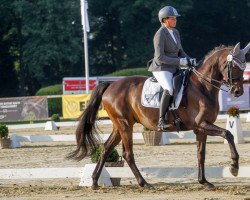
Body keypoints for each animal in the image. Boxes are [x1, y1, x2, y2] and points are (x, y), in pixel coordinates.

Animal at [68, 42, 250, 189]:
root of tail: (111, 85)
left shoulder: (201, 129)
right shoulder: (201, 124)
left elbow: (201, 155)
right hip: (125, 125)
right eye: (234, 67)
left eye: (243, 67)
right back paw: (143, 183)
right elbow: (228, 134)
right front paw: (234, 167)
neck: (203, 87)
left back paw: (94, 182)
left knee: (106, 149)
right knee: (127, 154)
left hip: (119, 126)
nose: (238, 92)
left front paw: (204, 181)